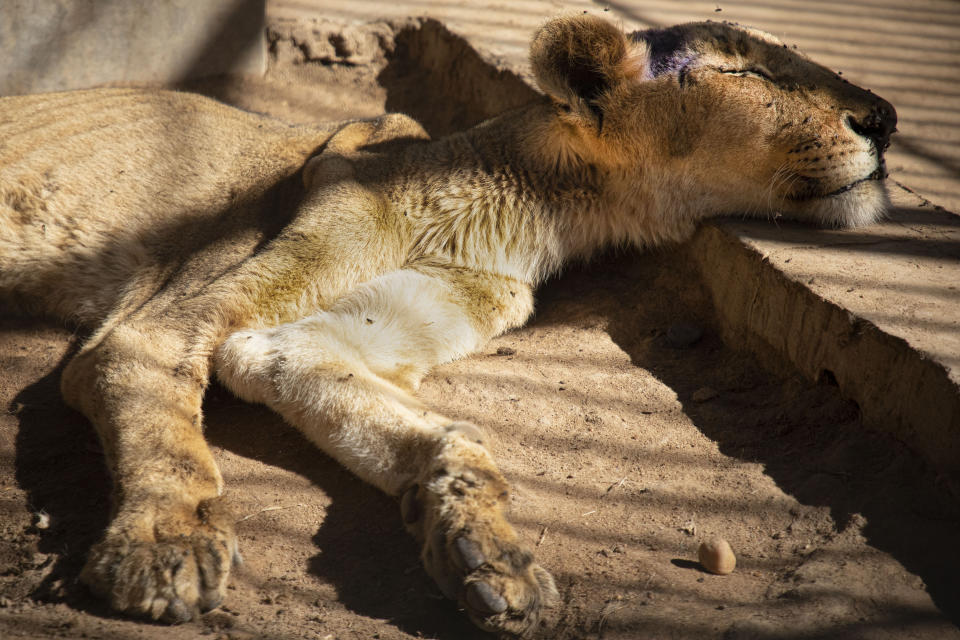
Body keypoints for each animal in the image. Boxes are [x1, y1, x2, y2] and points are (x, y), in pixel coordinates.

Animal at [3, 13, 896, 636]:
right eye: (747, 69)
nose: (886, 117)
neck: (532, 206)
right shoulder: (165, 318)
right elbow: (163, 418)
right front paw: (165, 547)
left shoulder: (290, 338)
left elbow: (440, 431)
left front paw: (489, 555)